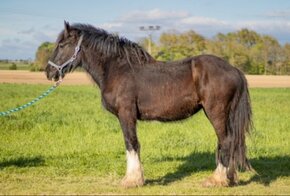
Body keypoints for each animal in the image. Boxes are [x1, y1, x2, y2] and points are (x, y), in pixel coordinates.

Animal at [44, 21, 251, 188]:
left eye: (62, 45)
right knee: (229, 141)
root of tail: (234, 69)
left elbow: (131, 143)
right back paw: (229, 177)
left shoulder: (126, 114)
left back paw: (217, 180)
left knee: (225, 141)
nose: (48, 72)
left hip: (216, 112)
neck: (118, 69)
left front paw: (132, 180)